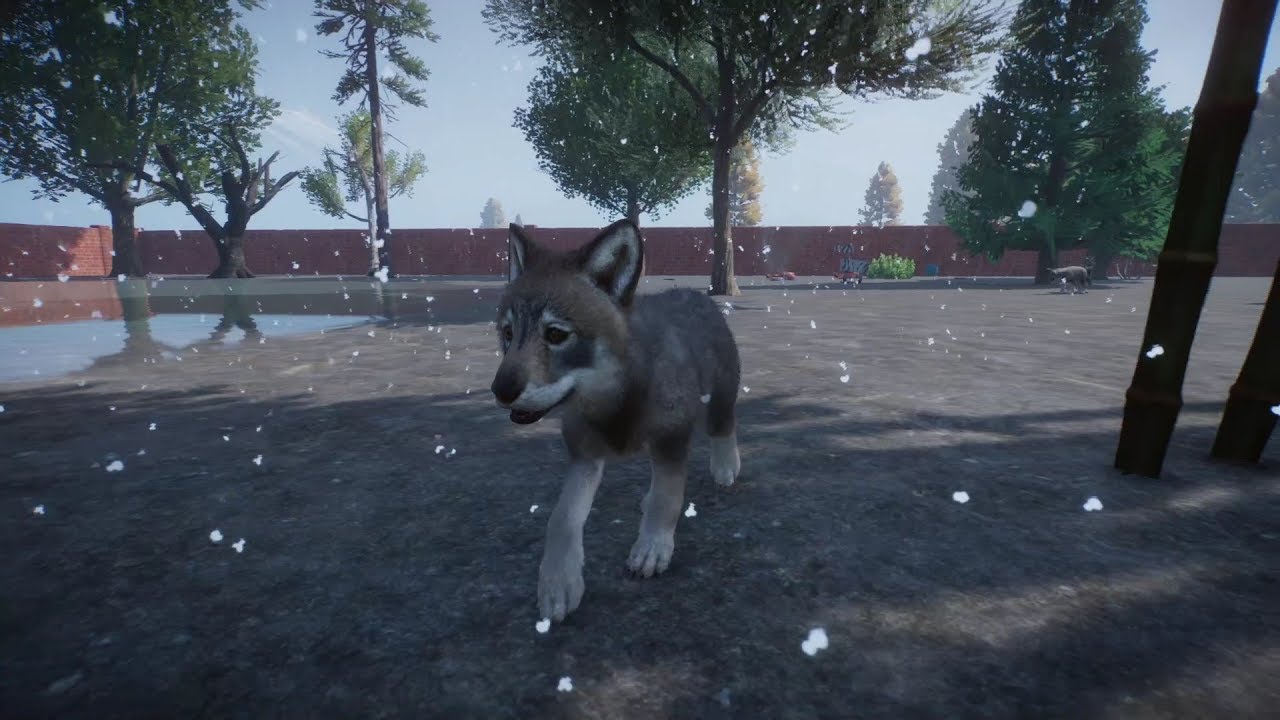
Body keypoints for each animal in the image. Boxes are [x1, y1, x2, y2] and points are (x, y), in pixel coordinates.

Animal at [489, 219, 742, 623]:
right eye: (508, 333)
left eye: (556, 334)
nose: (500, 390)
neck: (612, 400)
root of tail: (695, 294)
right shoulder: (584, 457)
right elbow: (561, 518)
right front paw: (558, 583)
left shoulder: (671, 439)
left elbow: (667, 498)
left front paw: (652, 546)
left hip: (719, 398)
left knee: (724, 426)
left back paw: (726, 466)